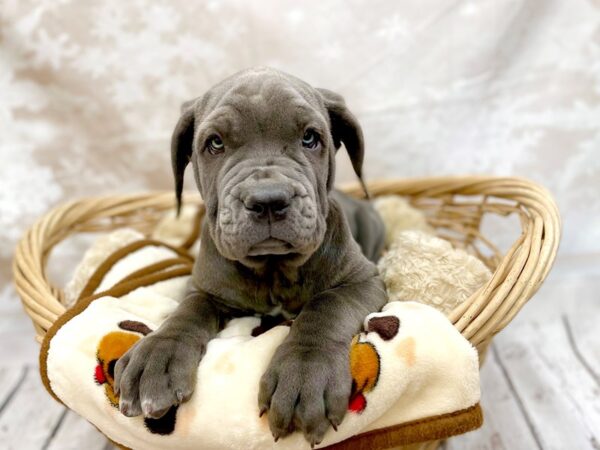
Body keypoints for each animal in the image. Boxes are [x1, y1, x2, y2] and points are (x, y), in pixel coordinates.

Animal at [116, 67, 390, 446]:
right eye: (215, 143)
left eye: (310, 138)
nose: (268, 199)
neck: (273, 268)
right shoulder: (205, 288)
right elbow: (187, 311)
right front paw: (157, 355)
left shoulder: (364, 280)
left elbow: (327, 306)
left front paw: (305, 374)